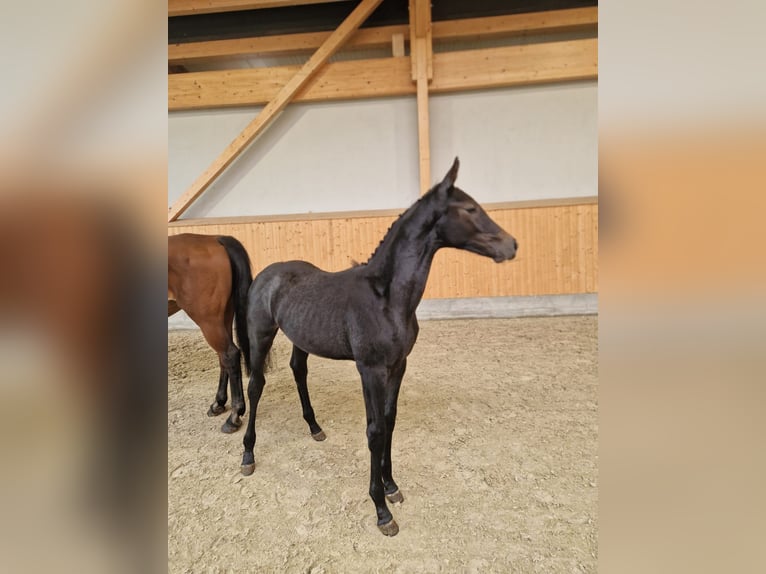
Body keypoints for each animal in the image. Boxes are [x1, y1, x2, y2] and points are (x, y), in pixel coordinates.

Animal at [168, 233, 252, 433]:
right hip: (223, 317)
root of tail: (215, 239)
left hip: (209, 320)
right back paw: (219, 403)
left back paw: (234, 416)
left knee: (229, 354)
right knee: (223, 357)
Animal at [240, 158, 517, 536]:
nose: (511, 245)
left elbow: (390, 420)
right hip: (261, 336)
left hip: (301, 338)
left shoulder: (398, 365)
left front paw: (391, 486)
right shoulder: (370, 370)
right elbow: (375, 431)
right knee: (255, 386)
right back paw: (248, 454)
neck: (386, 299)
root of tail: (265, 274)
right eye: (470, 208)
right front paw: (381, 510)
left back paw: (314, 428)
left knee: (299, 371)